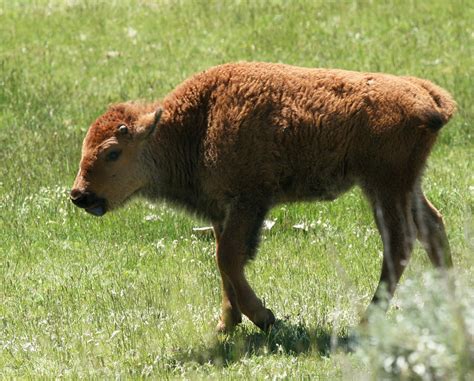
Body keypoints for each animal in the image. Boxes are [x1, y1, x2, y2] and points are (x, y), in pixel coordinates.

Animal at [70, 61, 456, 330]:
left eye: (112, 152)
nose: (79, 195)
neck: (196, 124)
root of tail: (429, 98)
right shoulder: (222, 210)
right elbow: (222, 259)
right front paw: (226, 323)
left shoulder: (248, 201)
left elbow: (228, 257)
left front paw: (263, 316)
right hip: (405, 185)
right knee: (432, 227)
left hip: (383, 185)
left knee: (400, 243)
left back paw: (366, 322)